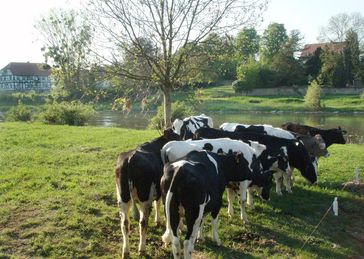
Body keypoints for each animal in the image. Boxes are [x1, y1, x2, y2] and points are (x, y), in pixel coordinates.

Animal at [114, 130, 180, 258]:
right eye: (177, 137)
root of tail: (130, 159)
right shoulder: (158, 190)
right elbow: (158, 204)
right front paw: (158, 221)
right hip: (144, 197)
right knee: (143, 222)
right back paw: (142, 249)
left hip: (122, 197)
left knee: (125, 223)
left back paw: (126, 251)